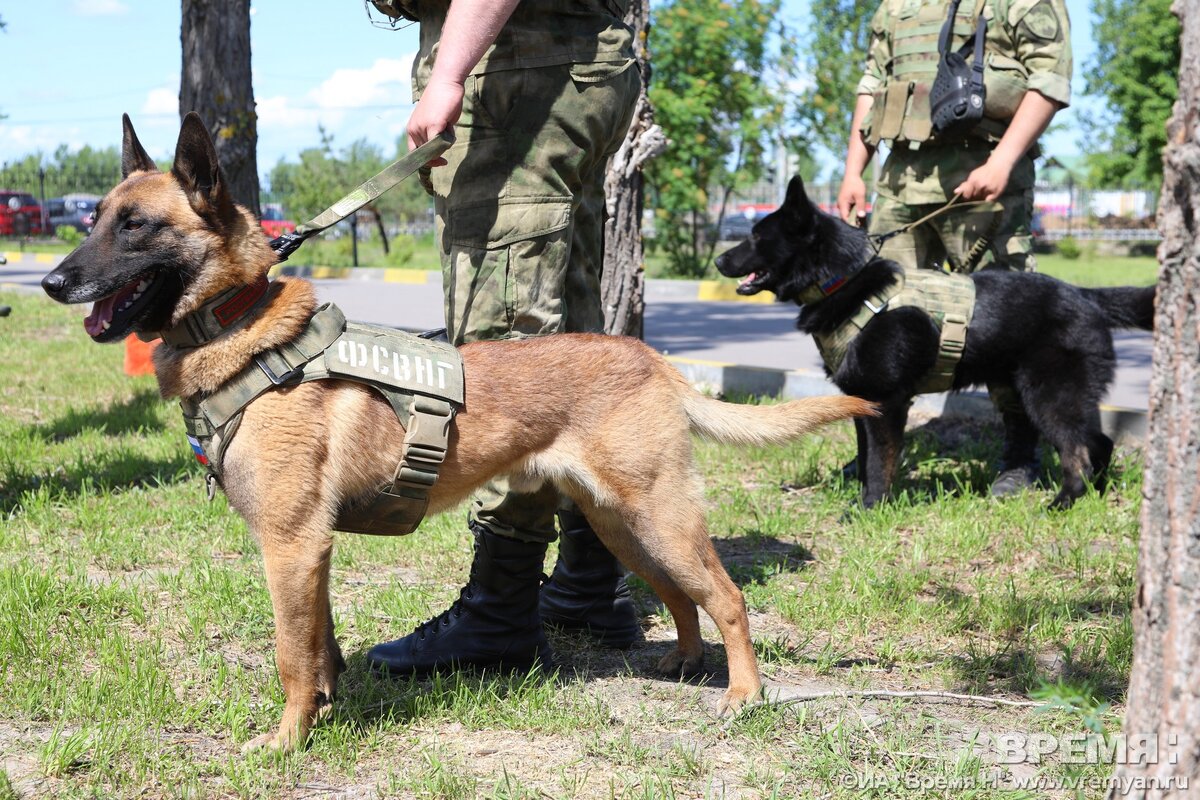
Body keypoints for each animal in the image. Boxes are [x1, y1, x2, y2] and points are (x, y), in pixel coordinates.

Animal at [42, 113, 878, 758]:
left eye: (136, 226)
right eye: (95, 218)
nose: (51, 282)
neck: (244, 334)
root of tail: (653, 359)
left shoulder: (290, 545)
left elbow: (290, 654)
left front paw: (285, 741)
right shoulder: (312, 552)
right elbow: (321, 647)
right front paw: (326, 712)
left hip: (659, 516)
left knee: (727, 597)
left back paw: (744, 693)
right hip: (622, 522)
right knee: (680, 595)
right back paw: (683, 659)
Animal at [715, 178, 1156, 510]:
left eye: (755, 236)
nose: (718, 261)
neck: (844, 279)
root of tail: (1085, 294)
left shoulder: (887, 402)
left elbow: (879, 464)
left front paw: (869, 508)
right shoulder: (863, 401)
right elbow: (866, 456)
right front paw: (860, 497)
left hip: (1049, 394)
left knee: (1076, 450)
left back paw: (1063, 501)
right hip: (1059, 392)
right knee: (1099, 441)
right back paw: (1095, 494)